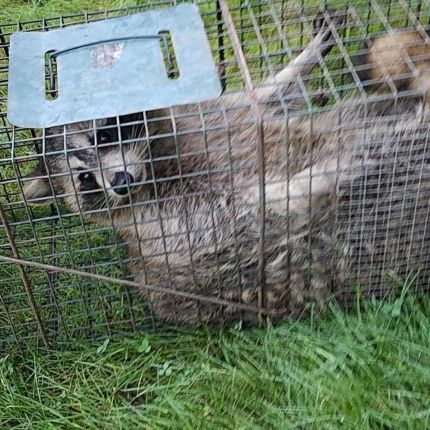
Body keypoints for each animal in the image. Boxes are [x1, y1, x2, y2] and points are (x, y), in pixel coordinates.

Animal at [20, 10, 430, 324]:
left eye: (103, 135)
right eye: (85, 179)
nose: (120, 182)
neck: (156, 163)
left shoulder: (209, 116)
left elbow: (271, 97)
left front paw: (308, 56)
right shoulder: (164, 222)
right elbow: (243, 214)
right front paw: (309, 181)